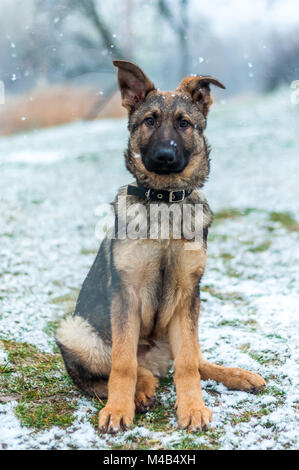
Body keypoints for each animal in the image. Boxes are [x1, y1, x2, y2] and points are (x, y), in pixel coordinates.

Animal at [55, 60, 264, 436]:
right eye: (149, 121)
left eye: (183, 123)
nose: (166, 156)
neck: (165, 201)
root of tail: (154, 361)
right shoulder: (127, 294)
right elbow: (122, 365)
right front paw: (118, 409)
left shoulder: (188, 294)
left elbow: (188, 365)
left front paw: (193, 408)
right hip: (74, 329)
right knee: (116, 371)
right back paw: (141, 391)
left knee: (191, 360)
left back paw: (237, 375)